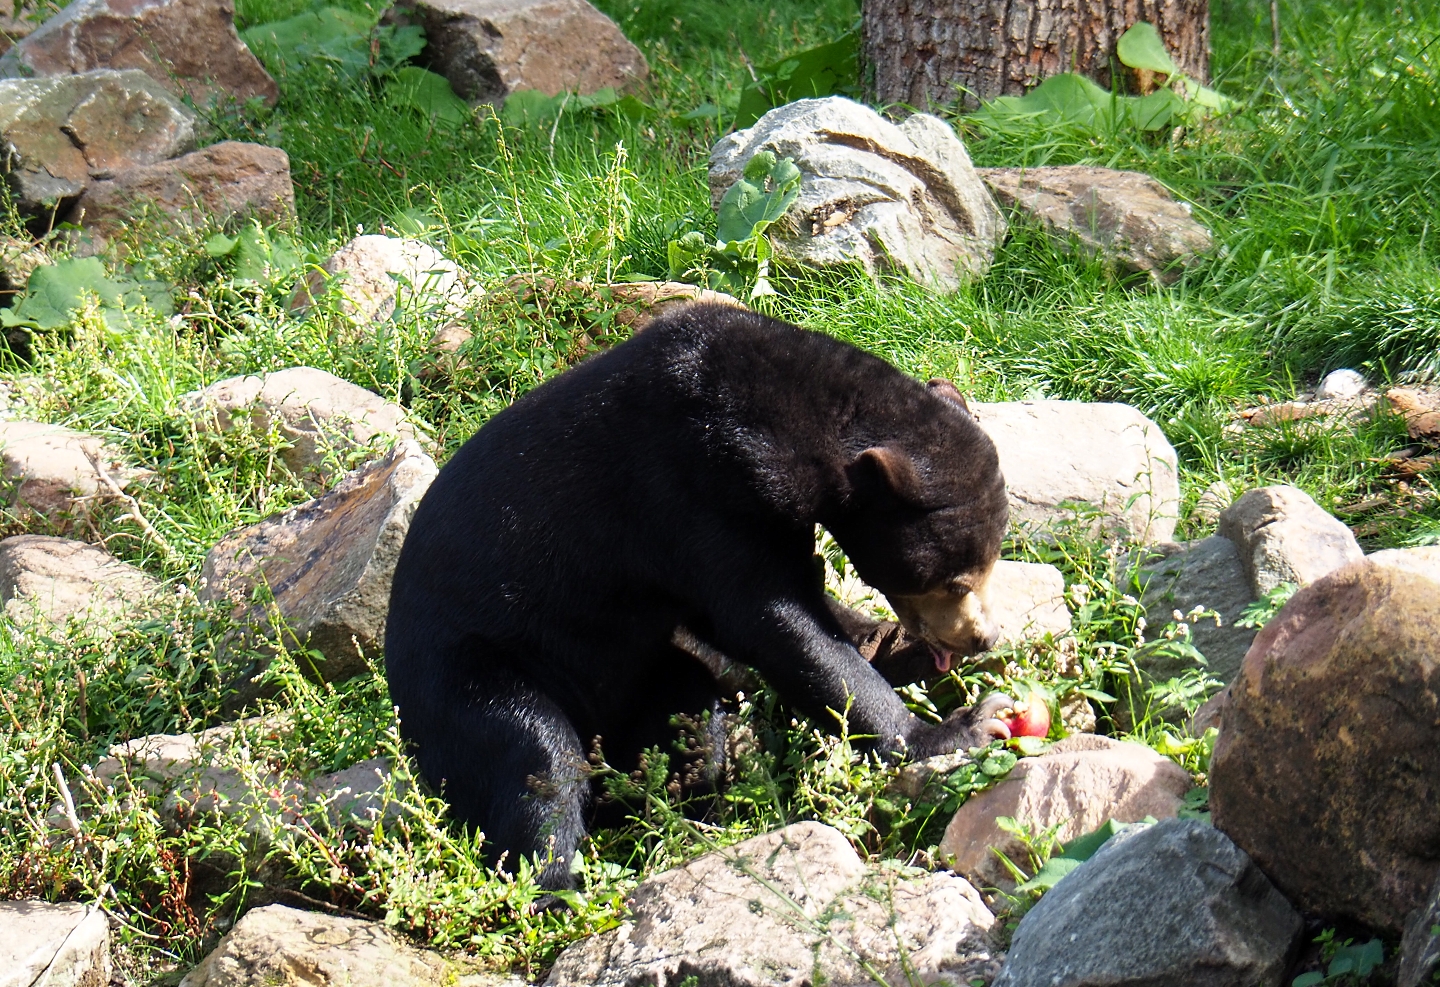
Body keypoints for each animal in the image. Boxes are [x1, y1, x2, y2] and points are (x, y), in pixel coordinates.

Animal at [385, 303, 1013, 891]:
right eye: (954, 581)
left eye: (992, 561)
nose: (981, 637)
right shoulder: (695, 489)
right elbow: (770, 621)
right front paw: (962, 726)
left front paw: (898, 646)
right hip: (470, 676)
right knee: (535, 755)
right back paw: (557, 882)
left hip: (639, 677)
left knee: (686, 706)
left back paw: (679, 811)